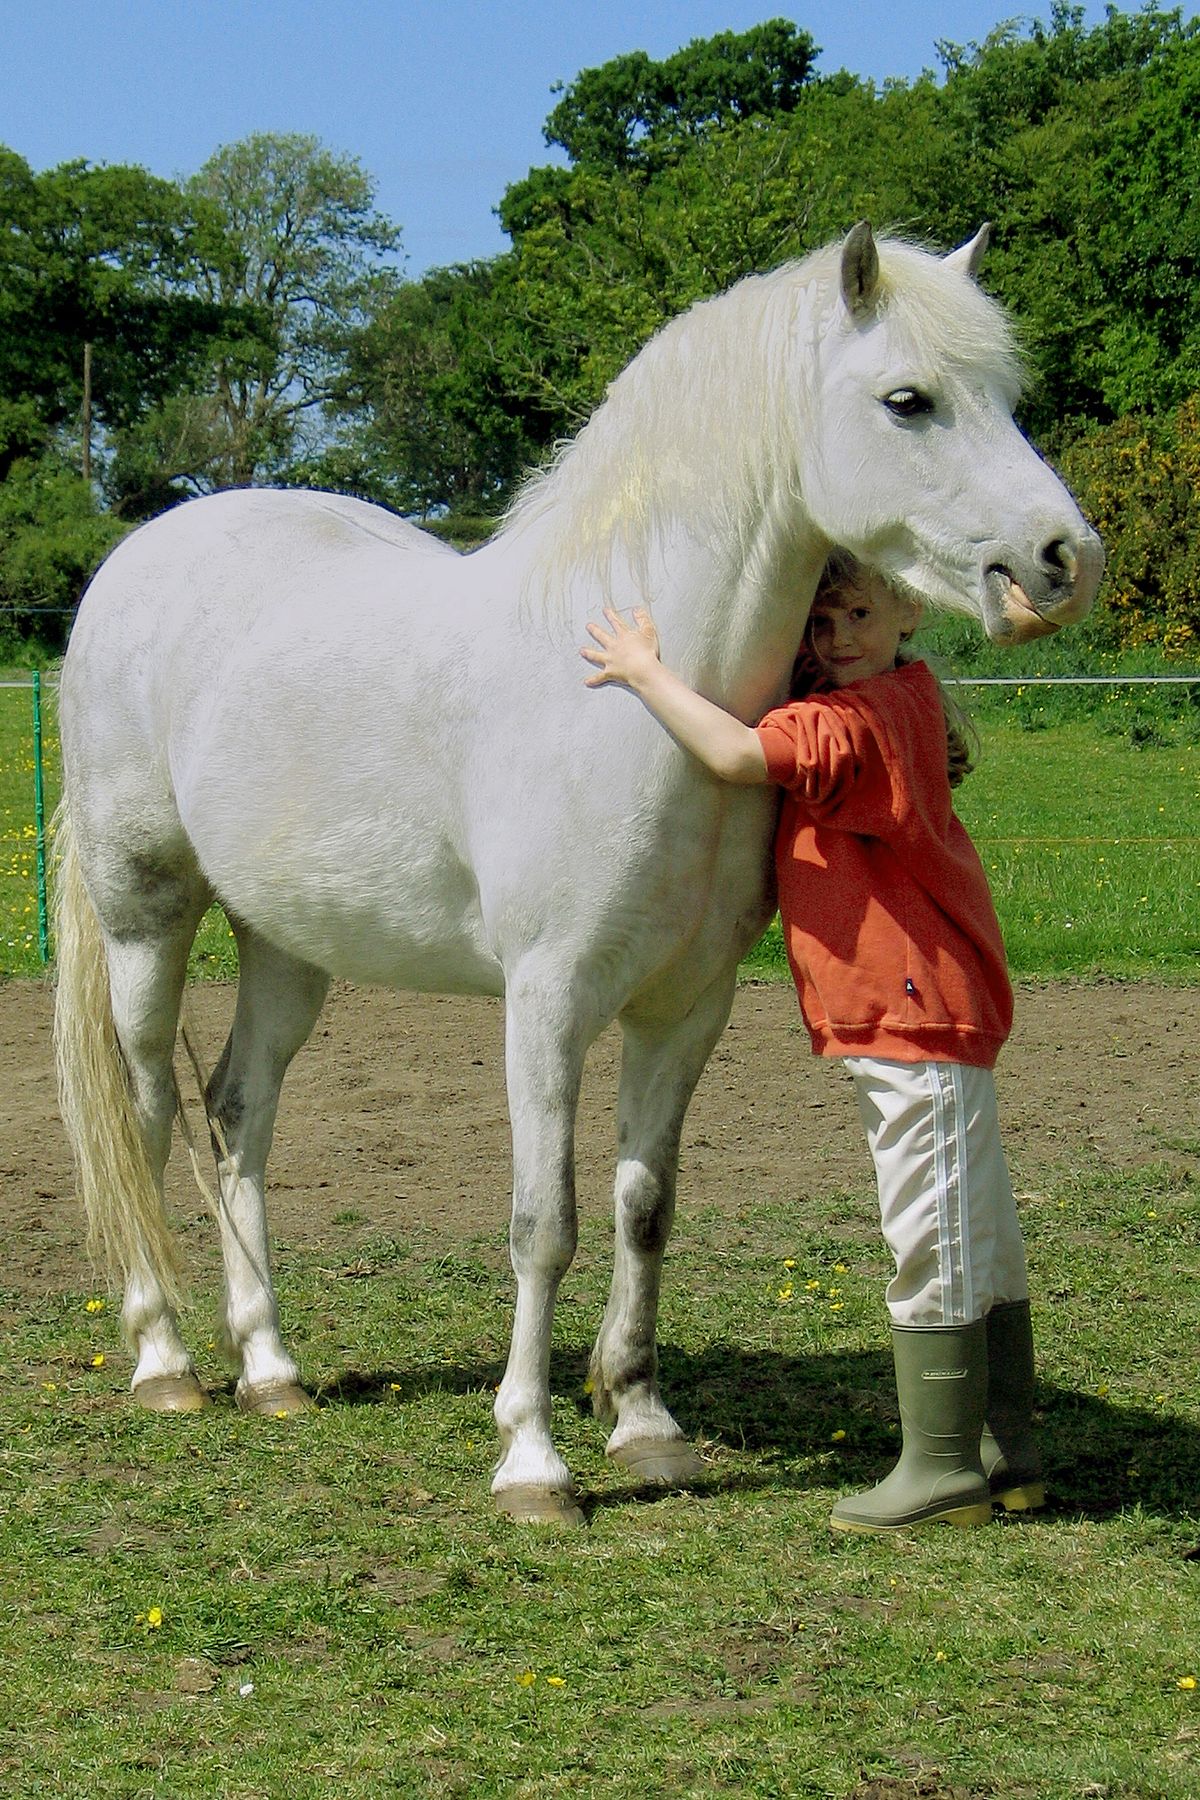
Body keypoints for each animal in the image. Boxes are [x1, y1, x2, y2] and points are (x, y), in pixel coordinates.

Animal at [58, 221, 1108, 1519]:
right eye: (907, 400)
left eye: (1007, 396)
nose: (1063, 561)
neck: (631, 689)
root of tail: (136, 561)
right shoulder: (547, 1001)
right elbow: (542, 1221)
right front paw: (532, 1460)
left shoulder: (686, 1005)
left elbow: (644, 1204)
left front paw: (645, 1425)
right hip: (144, 914)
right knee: (148, 1112)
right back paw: (165, 1361)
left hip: (288, 943)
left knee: (239, 1113)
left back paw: (271, 1369)